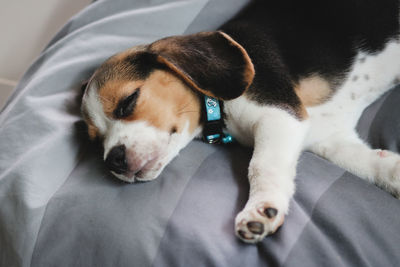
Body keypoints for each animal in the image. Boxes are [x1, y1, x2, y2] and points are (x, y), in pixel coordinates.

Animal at [80, 0, 400, 245]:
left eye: (128, 102)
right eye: (96, 140)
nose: (113, 160)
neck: (219, 105)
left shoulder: (279, 113)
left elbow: (261, 165)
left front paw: (261, 209)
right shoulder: (328, 137)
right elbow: (375, 167)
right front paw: (393, 173)